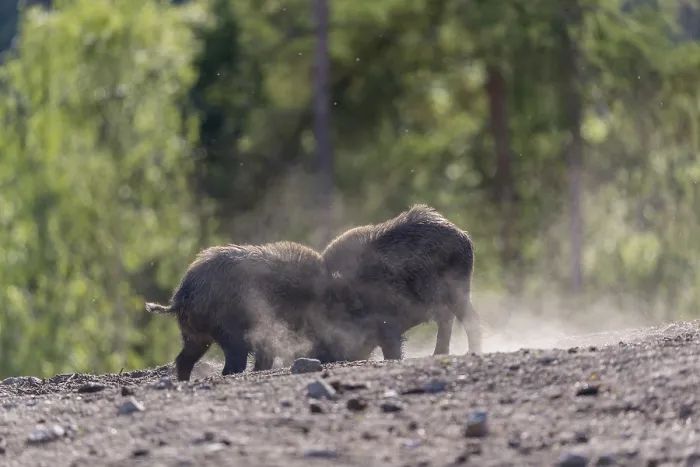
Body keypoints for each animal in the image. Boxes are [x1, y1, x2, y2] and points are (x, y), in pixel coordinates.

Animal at [312, 204, 482, 363]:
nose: (320, 355)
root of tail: (464, 235)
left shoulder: (387, 324)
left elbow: (391, 349)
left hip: (458, 288)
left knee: (470, 318)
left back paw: (472, 352)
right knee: (447, 320)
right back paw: (438, 354)